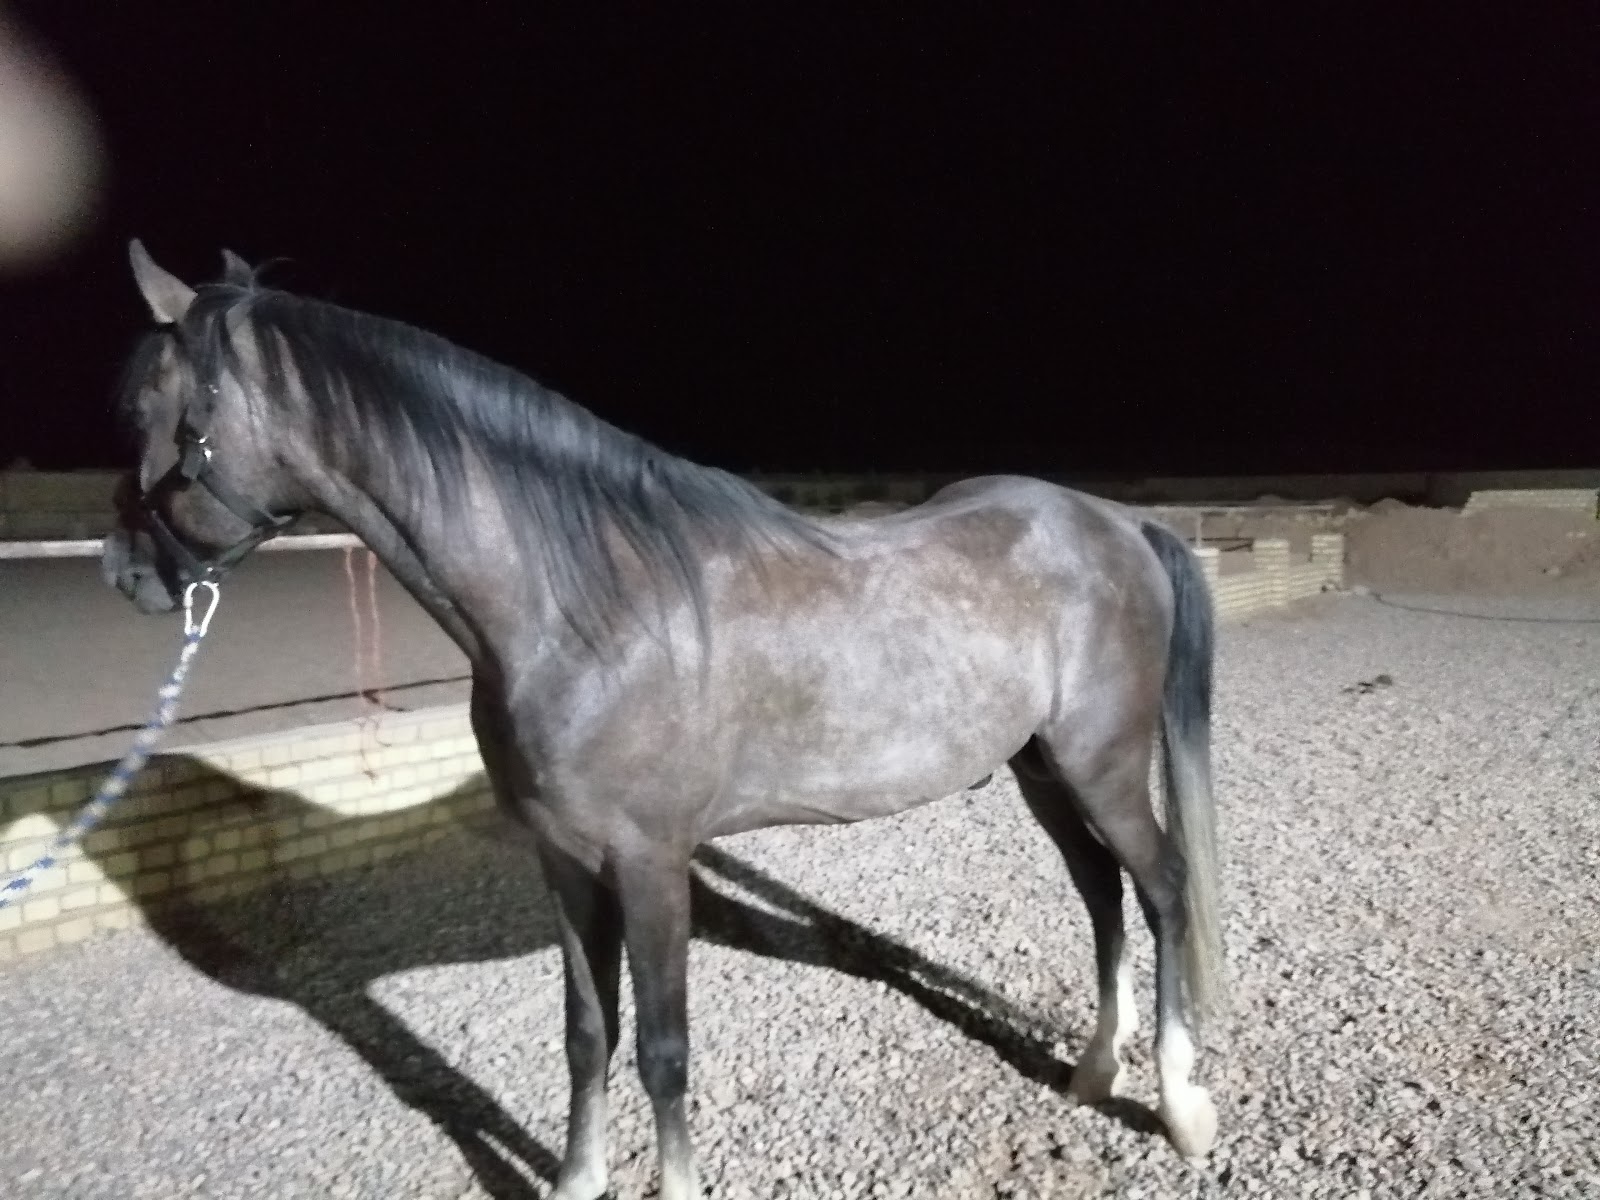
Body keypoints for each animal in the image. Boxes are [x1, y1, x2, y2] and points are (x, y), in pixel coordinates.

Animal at [102, 240, 1226, 1199]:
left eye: (145, 405)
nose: (125, 575)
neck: (582, 608)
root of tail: (1117, 522)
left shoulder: (649, 863)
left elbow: (663, 1048)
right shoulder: (563, 860)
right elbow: (587, 1034)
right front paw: (576, 1179)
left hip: (1101, 765)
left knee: (1162, 886)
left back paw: (1178, 1105)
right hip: (1044, 770)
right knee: (1101, 895)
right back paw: (1092, 1070)